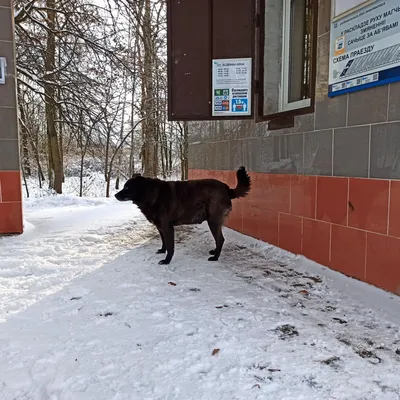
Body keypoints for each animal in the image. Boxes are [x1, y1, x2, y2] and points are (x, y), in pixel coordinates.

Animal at [114, 166, 250, 264]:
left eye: (127, 188)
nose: (115, 195)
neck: (150, 193)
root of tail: (226, 188)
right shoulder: (160, 227)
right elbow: (164, 242)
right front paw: (162, 251)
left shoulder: (167, 227)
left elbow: (170, 246)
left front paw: (167, 260)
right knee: (219, 240)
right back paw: (214, 252)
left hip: (213, 221)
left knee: (220, 239)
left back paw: (215, 258)